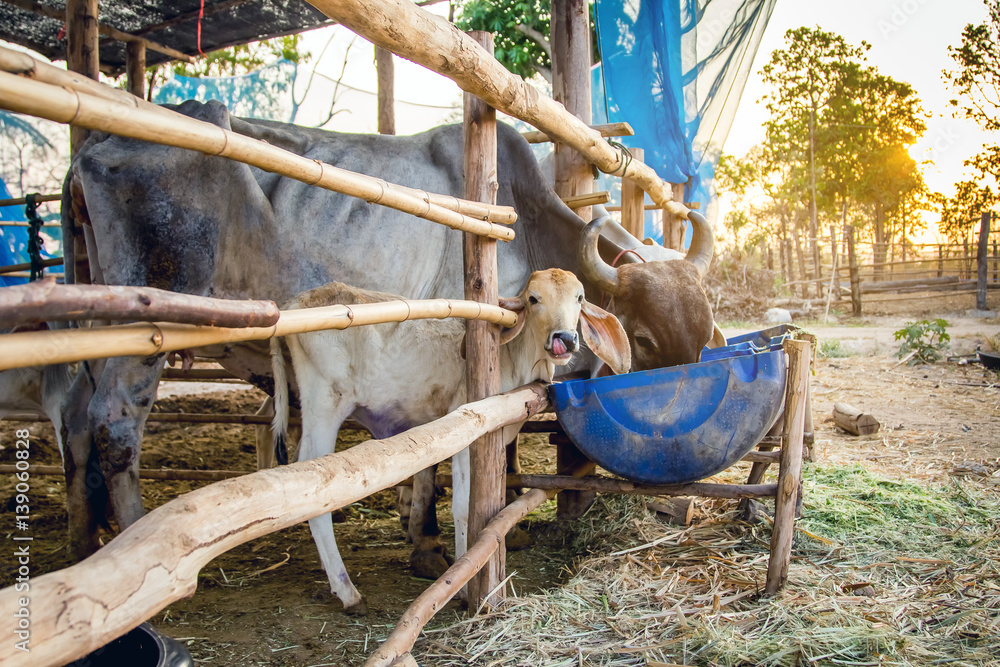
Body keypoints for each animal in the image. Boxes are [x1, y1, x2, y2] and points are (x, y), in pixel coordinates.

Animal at [270, 268, 628, 612]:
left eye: (579, 298)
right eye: (533, 298)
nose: (564, 339)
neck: (512, 358)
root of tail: (297, 302)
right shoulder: (466, 431)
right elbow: (463, 506)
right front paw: (466, 587)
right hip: (325, 404)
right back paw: (347, 592)